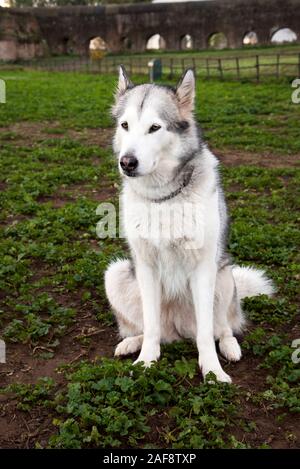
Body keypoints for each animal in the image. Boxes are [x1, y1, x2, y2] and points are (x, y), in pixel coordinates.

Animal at [104, 65, 274, 380]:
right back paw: (132, 342)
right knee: (152, 329)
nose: (127, 162)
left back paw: (230, 347)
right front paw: (146, 361)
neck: (163, 198)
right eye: (125, 125)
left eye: (155, 128)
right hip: (116, 273)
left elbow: (206, 335)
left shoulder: (204, 268)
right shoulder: (145, 266)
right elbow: (151, 327)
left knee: (223, 327)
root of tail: (180, 330)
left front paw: (213, 372)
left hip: (224, 276)